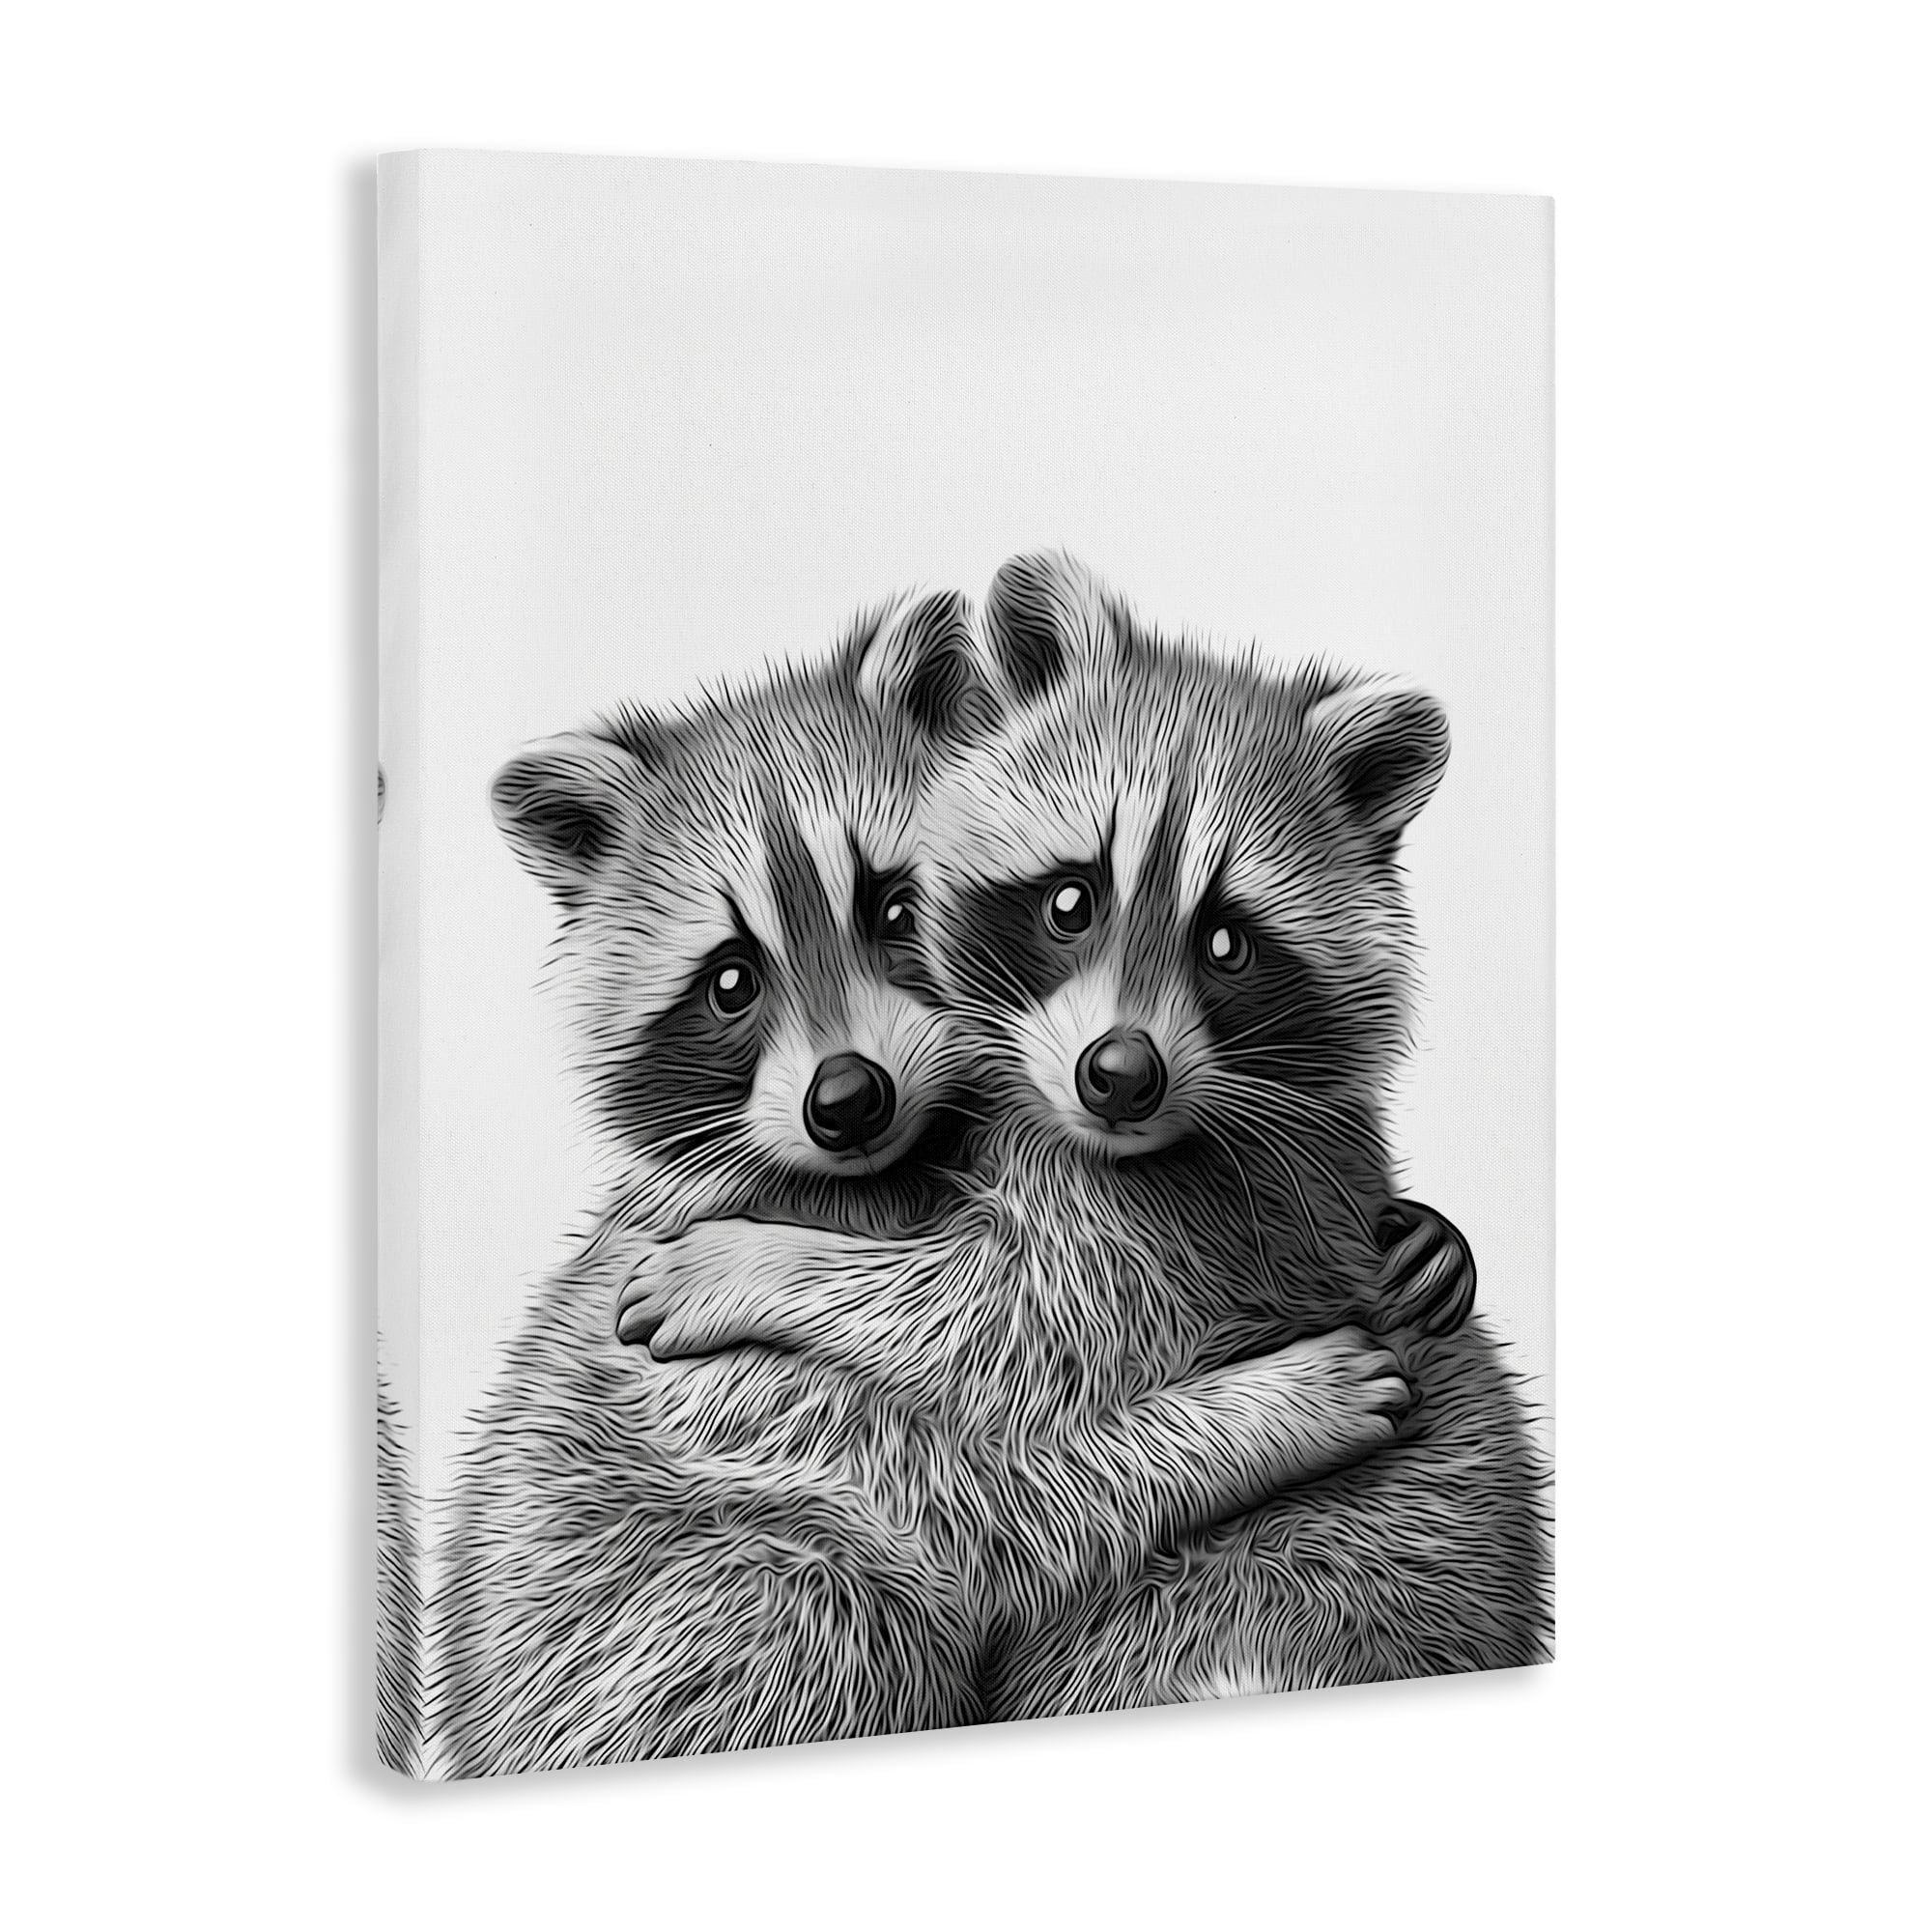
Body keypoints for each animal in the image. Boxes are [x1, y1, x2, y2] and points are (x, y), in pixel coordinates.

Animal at [434, 583, 1430, 1776]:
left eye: (892, 912)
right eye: (729, 981)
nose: (848, 1098)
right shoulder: (711, 1390)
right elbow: (982, 1511)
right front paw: (1261, 1414)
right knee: (805, 1600)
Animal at [618, 552, 1548, 1713]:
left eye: (1228, 942)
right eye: (1071, 900)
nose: (1120, 1076)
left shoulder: (1193, 1219)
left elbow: (996, 1320)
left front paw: (752, 1262)